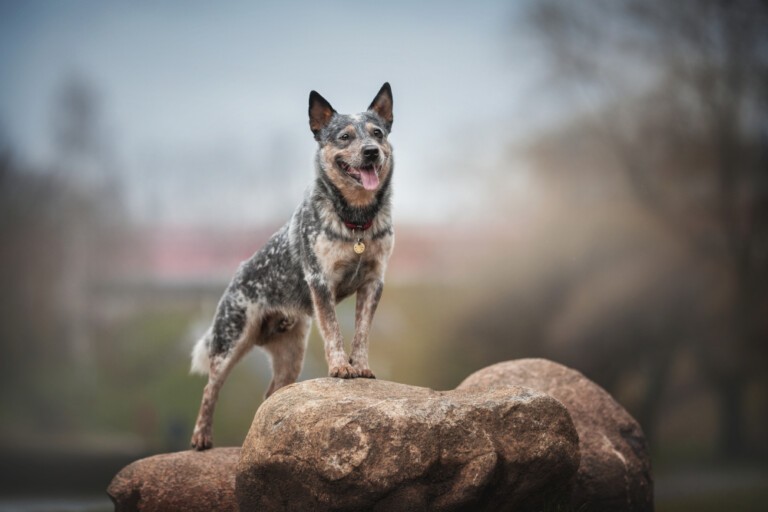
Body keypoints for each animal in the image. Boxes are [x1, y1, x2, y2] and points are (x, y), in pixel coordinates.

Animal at [189, 82, 396, 450]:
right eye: (344, 136)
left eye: (377, 133)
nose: (372, 152)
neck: (356, 220)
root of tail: (235, 277)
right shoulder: (320, 280)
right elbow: (334, 331)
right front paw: (341, 368)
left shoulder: (374, 282)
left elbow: (361, 333)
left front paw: (361, 366)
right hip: (230, 341)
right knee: (210, 388)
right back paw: (201, 436)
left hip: (291, 355)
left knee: (271, 394)